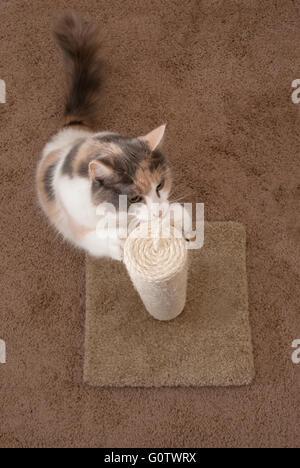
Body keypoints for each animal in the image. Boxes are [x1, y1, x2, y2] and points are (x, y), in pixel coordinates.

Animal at [37, 11, 176, 260]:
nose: (159, 213)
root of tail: (72, 129)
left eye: (160, 185)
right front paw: (120, 246)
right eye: (134, 199)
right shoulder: (79, 224)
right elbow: (99, 238)